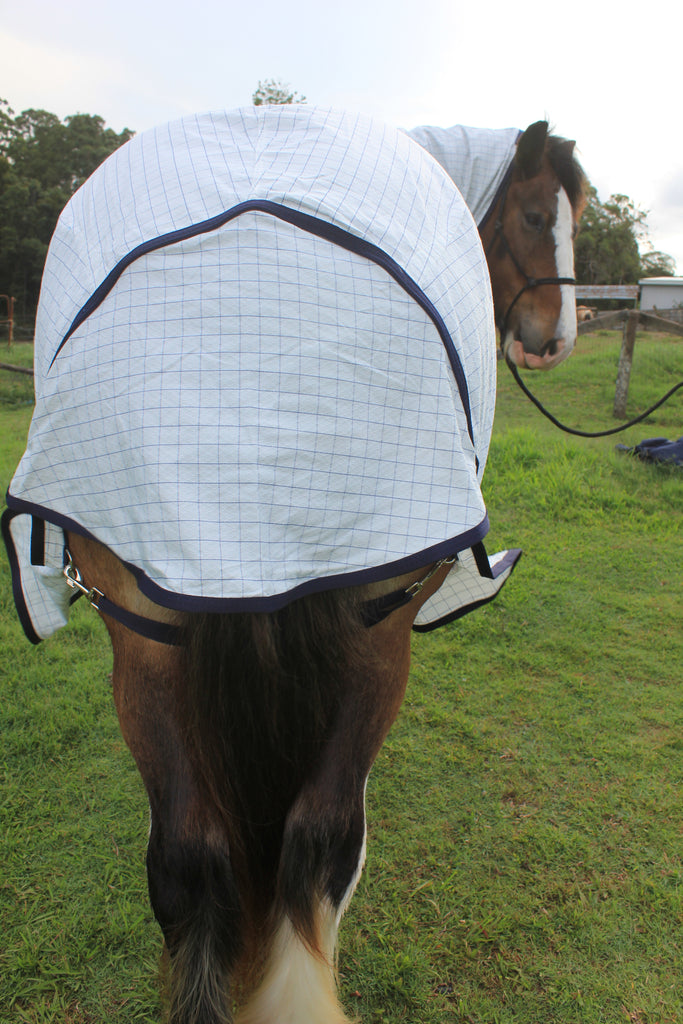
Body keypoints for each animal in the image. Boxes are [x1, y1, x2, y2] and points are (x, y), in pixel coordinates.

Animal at [3, 107, 587, 1024]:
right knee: (320, 847)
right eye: (534, 216)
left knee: (203, 857)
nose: (555, 339)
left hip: (152, 633)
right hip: (372, 636)